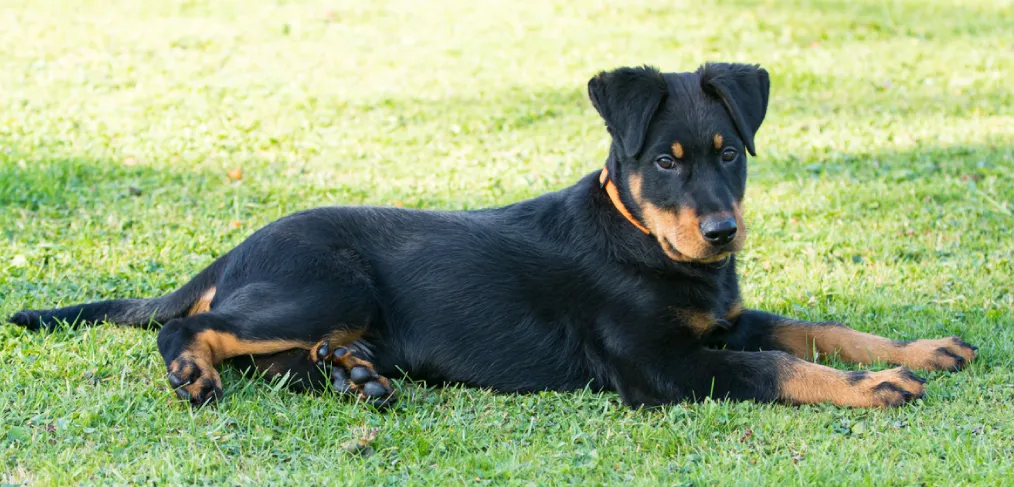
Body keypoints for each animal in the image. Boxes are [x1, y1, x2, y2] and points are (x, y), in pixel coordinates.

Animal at [5, 62, 973, 409]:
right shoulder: (662, 369)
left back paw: (355, 374)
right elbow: (777, 362)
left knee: (279, 358)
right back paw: (197, 373)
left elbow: (812, 325)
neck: (641, 242)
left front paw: (916, 349)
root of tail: (238, 247)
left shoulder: (721, 319)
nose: (721, 233)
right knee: (186, 324)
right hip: (327, 283)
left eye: (728, 152)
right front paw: (877, 383)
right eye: (664, 160)